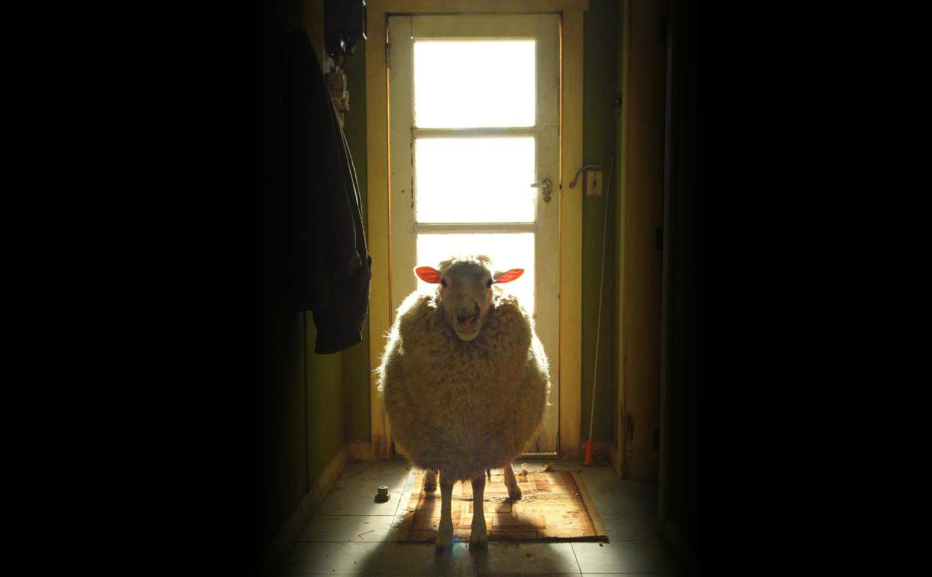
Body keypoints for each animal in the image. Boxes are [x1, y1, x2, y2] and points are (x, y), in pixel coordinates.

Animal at [376, 254, 550, 549]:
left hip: (506, 430)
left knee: (505, 460)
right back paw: (429, 481)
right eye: (444, 282)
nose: (467, 316)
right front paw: (445, 532)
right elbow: (447, 484)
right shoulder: (444, 438)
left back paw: (513, 486)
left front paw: (479, 532)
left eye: (489, 281)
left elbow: (479, 483)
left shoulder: (482, 437)